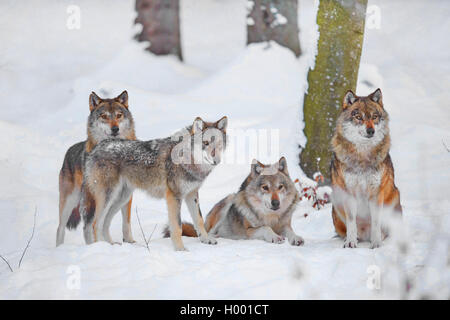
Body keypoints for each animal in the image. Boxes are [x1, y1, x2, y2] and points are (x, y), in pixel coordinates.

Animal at [55, 91, 135, 246]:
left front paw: (131, 243)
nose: (115, 129)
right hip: (73, 201)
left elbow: (126, 224)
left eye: (119, 115)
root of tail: (69, 150)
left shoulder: (127, 197)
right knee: (62, 228)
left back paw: (107, 244)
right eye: (104, 116)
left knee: (99, 224)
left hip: (116, 199)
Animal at [84, 116, 227, 251]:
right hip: (109, 197)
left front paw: (206, 239)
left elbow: (199, 220)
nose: (216, 160)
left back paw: (111, 245)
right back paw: (101, 247)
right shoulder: (174, 196)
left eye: (219, 144)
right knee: (95, 224)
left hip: (121, 199)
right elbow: (177, 226)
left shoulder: (192, 194)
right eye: (205, 143)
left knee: (105, 223)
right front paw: (180, 249)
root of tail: (97, 147)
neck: (187, 159)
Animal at [166, 157, 306, 245]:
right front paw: (275, 237)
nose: (276, 203)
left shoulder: (285, 225)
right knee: (208, 231)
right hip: (228, 201)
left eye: (280, 187)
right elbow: (265, 228)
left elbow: (290, 231)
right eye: (265, 187)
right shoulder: (248, 231)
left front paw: (296, 238)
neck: (271, 217)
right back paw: (214, 236)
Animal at [328, 89, 402, 249]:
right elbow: (351, 221)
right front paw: (350, 242)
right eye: (358, 117)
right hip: (336, 200)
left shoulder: (376, 193)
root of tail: (364, 234)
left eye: (374, 117)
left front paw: (376, 243)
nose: (370, 131)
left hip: (394, 196)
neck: (362, 156)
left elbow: (376, 221)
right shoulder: (348, 192)